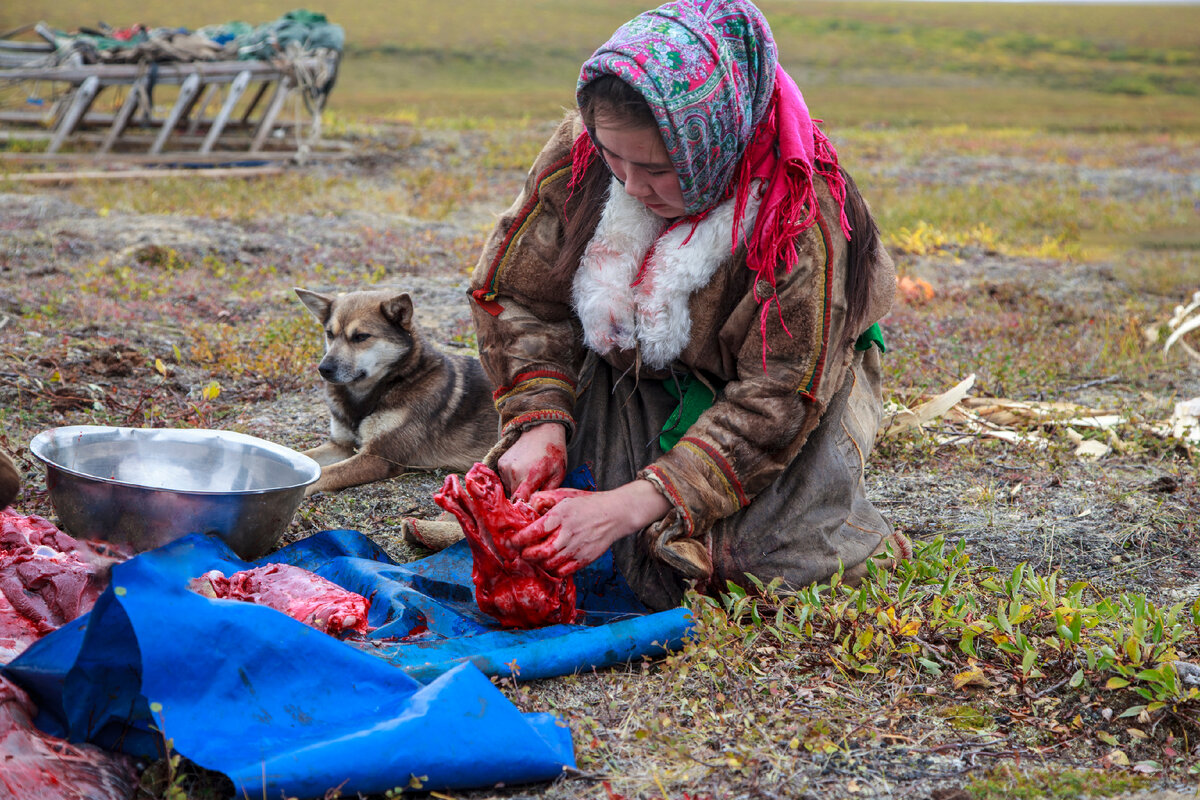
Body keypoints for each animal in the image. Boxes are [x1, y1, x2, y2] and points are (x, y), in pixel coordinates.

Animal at [295, 289, 501, 494]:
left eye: (361, 336)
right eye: (329, 334)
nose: (323, 369)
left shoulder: (379, 458)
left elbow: (324, 474)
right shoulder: (341, 445)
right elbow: (303, 455)